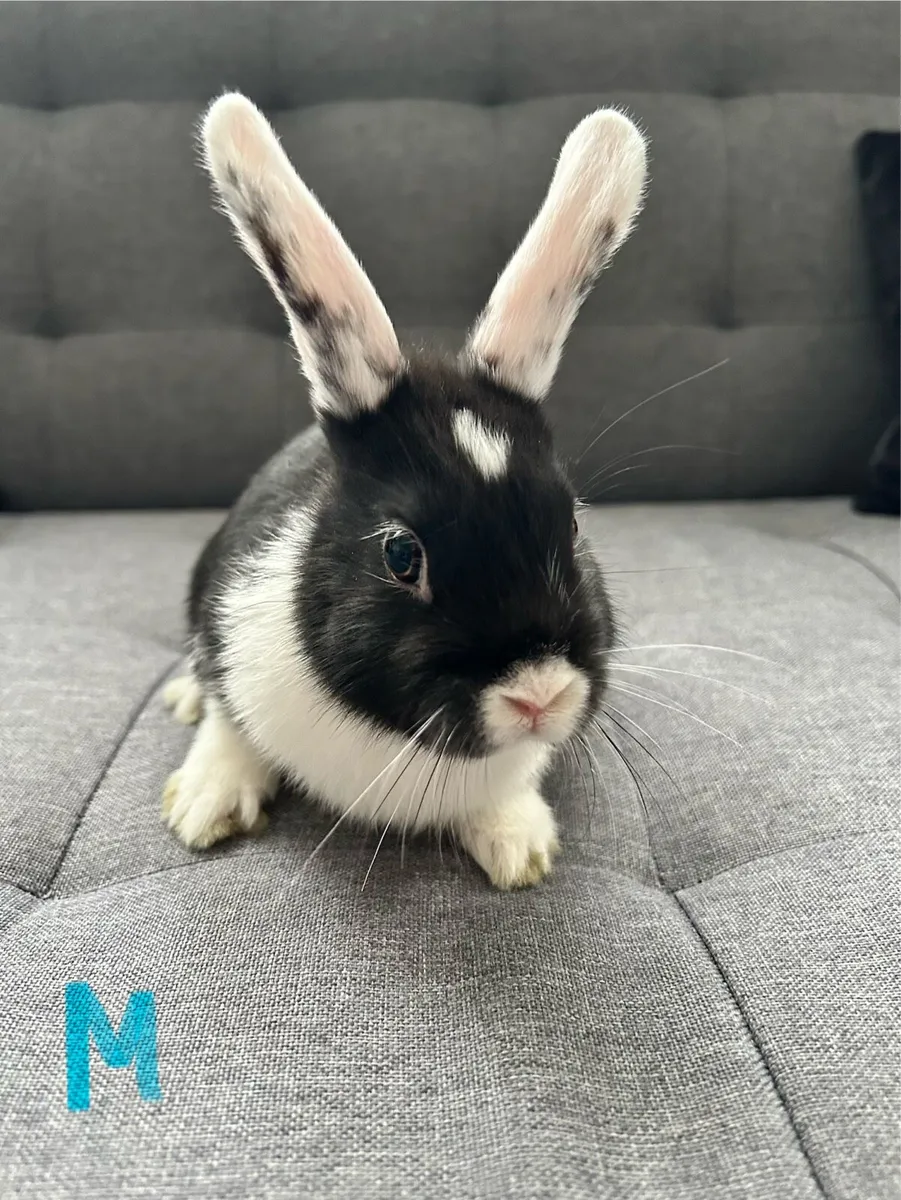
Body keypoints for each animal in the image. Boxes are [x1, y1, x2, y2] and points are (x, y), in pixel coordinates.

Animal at [162, 93, 648, 890]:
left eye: (572, 525)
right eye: (400, 554)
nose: (540, 695)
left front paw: (520, 847)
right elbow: (231, 725)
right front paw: (204, 804)